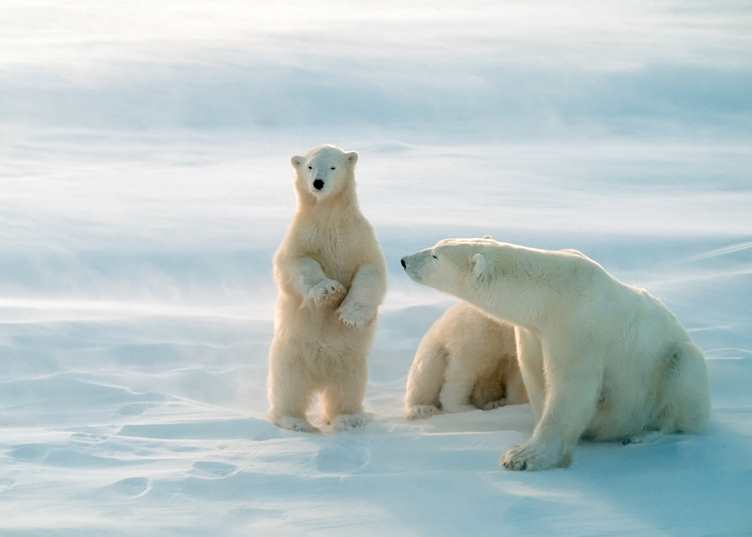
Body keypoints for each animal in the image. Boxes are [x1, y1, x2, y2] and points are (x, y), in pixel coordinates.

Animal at [267, 145, 387, 433]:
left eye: (332, 166)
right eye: (310, 166)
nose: (318, 183)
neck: (329, 216)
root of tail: (320, 375)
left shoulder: (357, 238)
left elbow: (371, 271)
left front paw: (349, 314)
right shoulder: (302, 235)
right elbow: (296, 263)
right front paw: (329, 290)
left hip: (351, 362)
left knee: (346, 389)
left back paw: (349, 418)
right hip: (290, 355)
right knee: (288, 388)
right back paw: (294, 421)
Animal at [401, 238, 710, 470]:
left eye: (435, 255)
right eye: (437, 245)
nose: (404, 260)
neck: (550, 293)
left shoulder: (577, 326)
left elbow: (570, 388)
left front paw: (524, 456)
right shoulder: (532, 332)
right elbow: (535, 376)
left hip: (673, 361)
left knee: (682, 384)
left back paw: (643, 434)